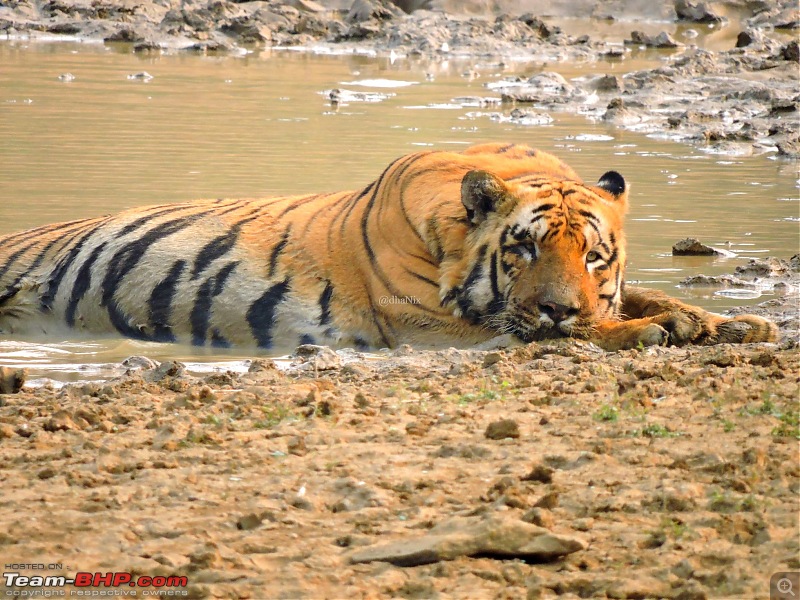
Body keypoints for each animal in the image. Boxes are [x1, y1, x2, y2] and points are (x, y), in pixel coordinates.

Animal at [0, 142, 776, 352]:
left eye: (593, 256)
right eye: (522, 251)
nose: (559, 308)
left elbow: (634, 296)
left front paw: (732, 321)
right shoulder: (433, 326)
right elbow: (594, 329)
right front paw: (658, 329)